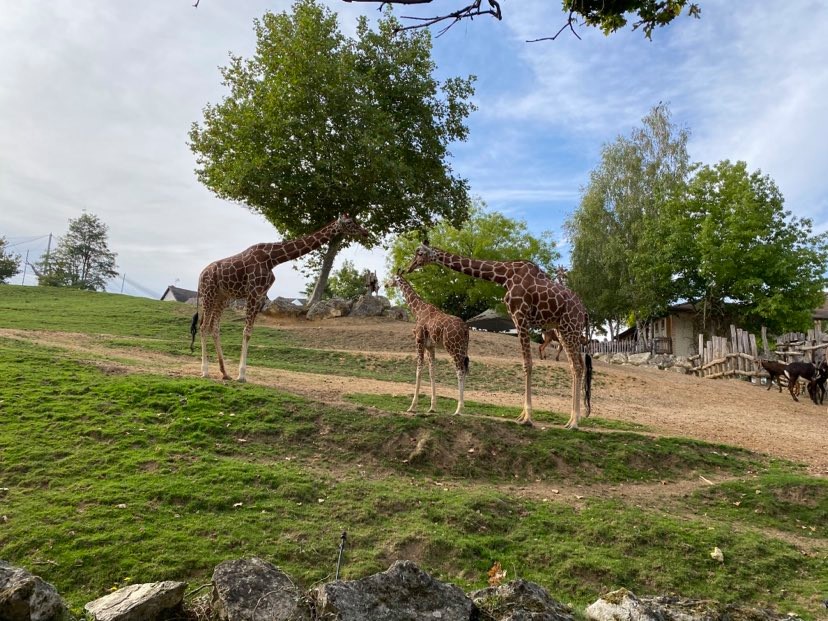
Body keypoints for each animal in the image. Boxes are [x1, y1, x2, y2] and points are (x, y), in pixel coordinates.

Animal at [190, 214, 369, 382]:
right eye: (349, 222)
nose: (365, 232)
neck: (273, 259)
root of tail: (200, 276)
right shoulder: (254, 292)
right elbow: (246, 331)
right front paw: (241, 375)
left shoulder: (261, 294)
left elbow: (249, 331)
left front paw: (239, 374)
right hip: (209, 294)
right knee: (204, 326)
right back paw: (205, 372)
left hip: (222, 297)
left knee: (214, 327)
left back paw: (224, 373)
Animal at [386, 272, 470, 415]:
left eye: (392, 278)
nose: (385, 284)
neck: (418, 310)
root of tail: (465, 329)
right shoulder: (430, 346)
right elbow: (432, 372)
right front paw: (432, 407)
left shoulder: (419, 341)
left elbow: (418, 370)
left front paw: (412, 406)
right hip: (463, 348)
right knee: (464, 369)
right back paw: (460, 407)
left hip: (453, 347)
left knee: (460, 371)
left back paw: (458, 409)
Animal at [406, 243, 592, 429]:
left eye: (419, 253)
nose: (410, 267)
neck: (505, 276)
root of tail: (584, 312)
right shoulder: (517, 318)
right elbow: (527, 362)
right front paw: (522, 415)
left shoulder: (520, 316)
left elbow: (527, 363)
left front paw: (527, 417)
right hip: (562, 330)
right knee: (576, 365)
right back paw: (570, 420)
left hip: (570, 327)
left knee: (577, 366)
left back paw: (575, 422)